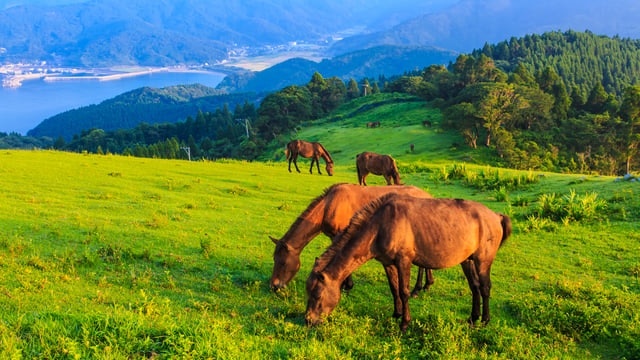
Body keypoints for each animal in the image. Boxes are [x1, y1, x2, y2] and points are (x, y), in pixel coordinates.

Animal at [270, 183, 436, 296]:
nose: (274, 286)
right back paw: (427, 285)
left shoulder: (339, 234)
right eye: (274, 259)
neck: (329, 205)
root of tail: (428, 196)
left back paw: (417, 289)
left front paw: (346, 285)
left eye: (283, 262)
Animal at [304, 194, 510, 332]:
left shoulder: (404, 261)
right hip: (467, 261)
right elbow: (394, 288)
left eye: (317, 295)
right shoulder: (388, 263)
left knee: (484, 288)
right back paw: (473, 318)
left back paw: (485, 320)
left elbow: (404, 291)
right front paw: (396, 314)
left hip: (483, 261)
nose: (308, 320)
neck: (380, 225)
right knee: (474, 287)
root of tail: (496, 215)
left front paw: (405, 322)